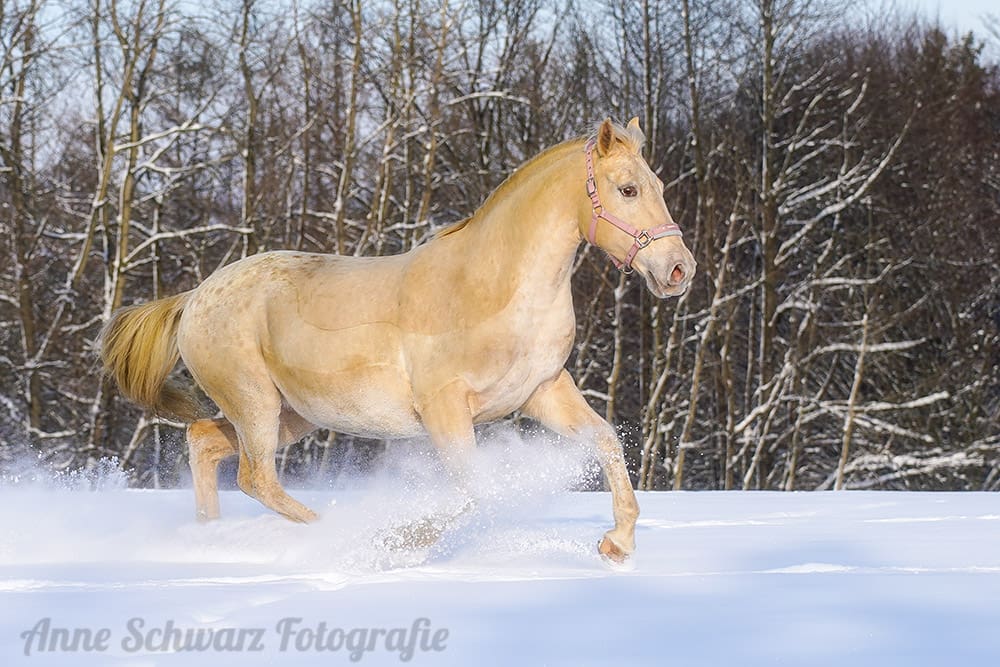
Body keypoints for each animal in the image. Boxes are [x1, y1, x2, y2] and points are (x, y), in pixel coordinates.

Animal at [99, 118, 696, 562]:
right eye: (627, 189)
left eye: (662, 188)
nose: (678, 270)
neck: (491, 287)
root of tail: (195, 297)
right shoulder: (445, 409)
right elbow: (474, 489)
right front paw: (404, 544)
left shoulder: (542, 391)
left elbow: (605, 441)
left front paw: (616, 545)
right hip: (257, 405)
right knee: (255, 478)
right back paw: (329, 535)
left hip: (291, 413)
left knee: (204, 440)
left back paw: (211, 537)